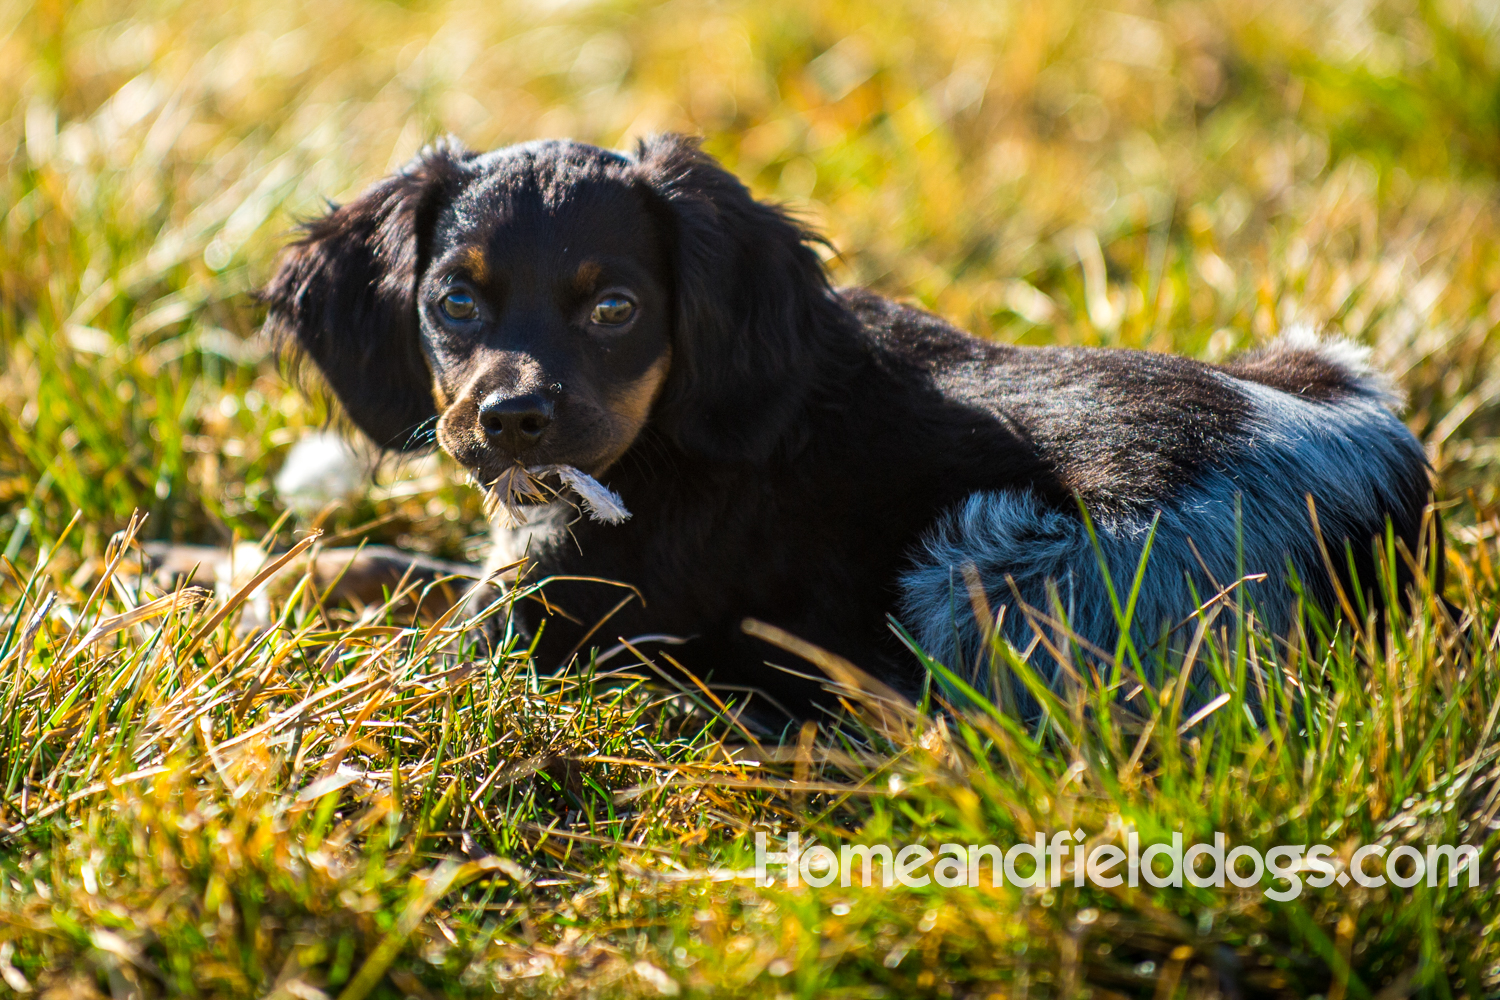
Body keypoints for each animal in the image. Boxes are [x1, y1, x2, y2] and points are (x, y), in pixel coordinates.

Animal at [264, 132, 1434, 719]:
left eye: (616, 309)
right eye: (456, 301)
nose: (513, 420)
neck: (670, 432)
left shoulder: (533, 623)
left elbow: (389, 637)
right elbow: (382, 569)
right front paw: (285, 565)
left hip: (990, 558)